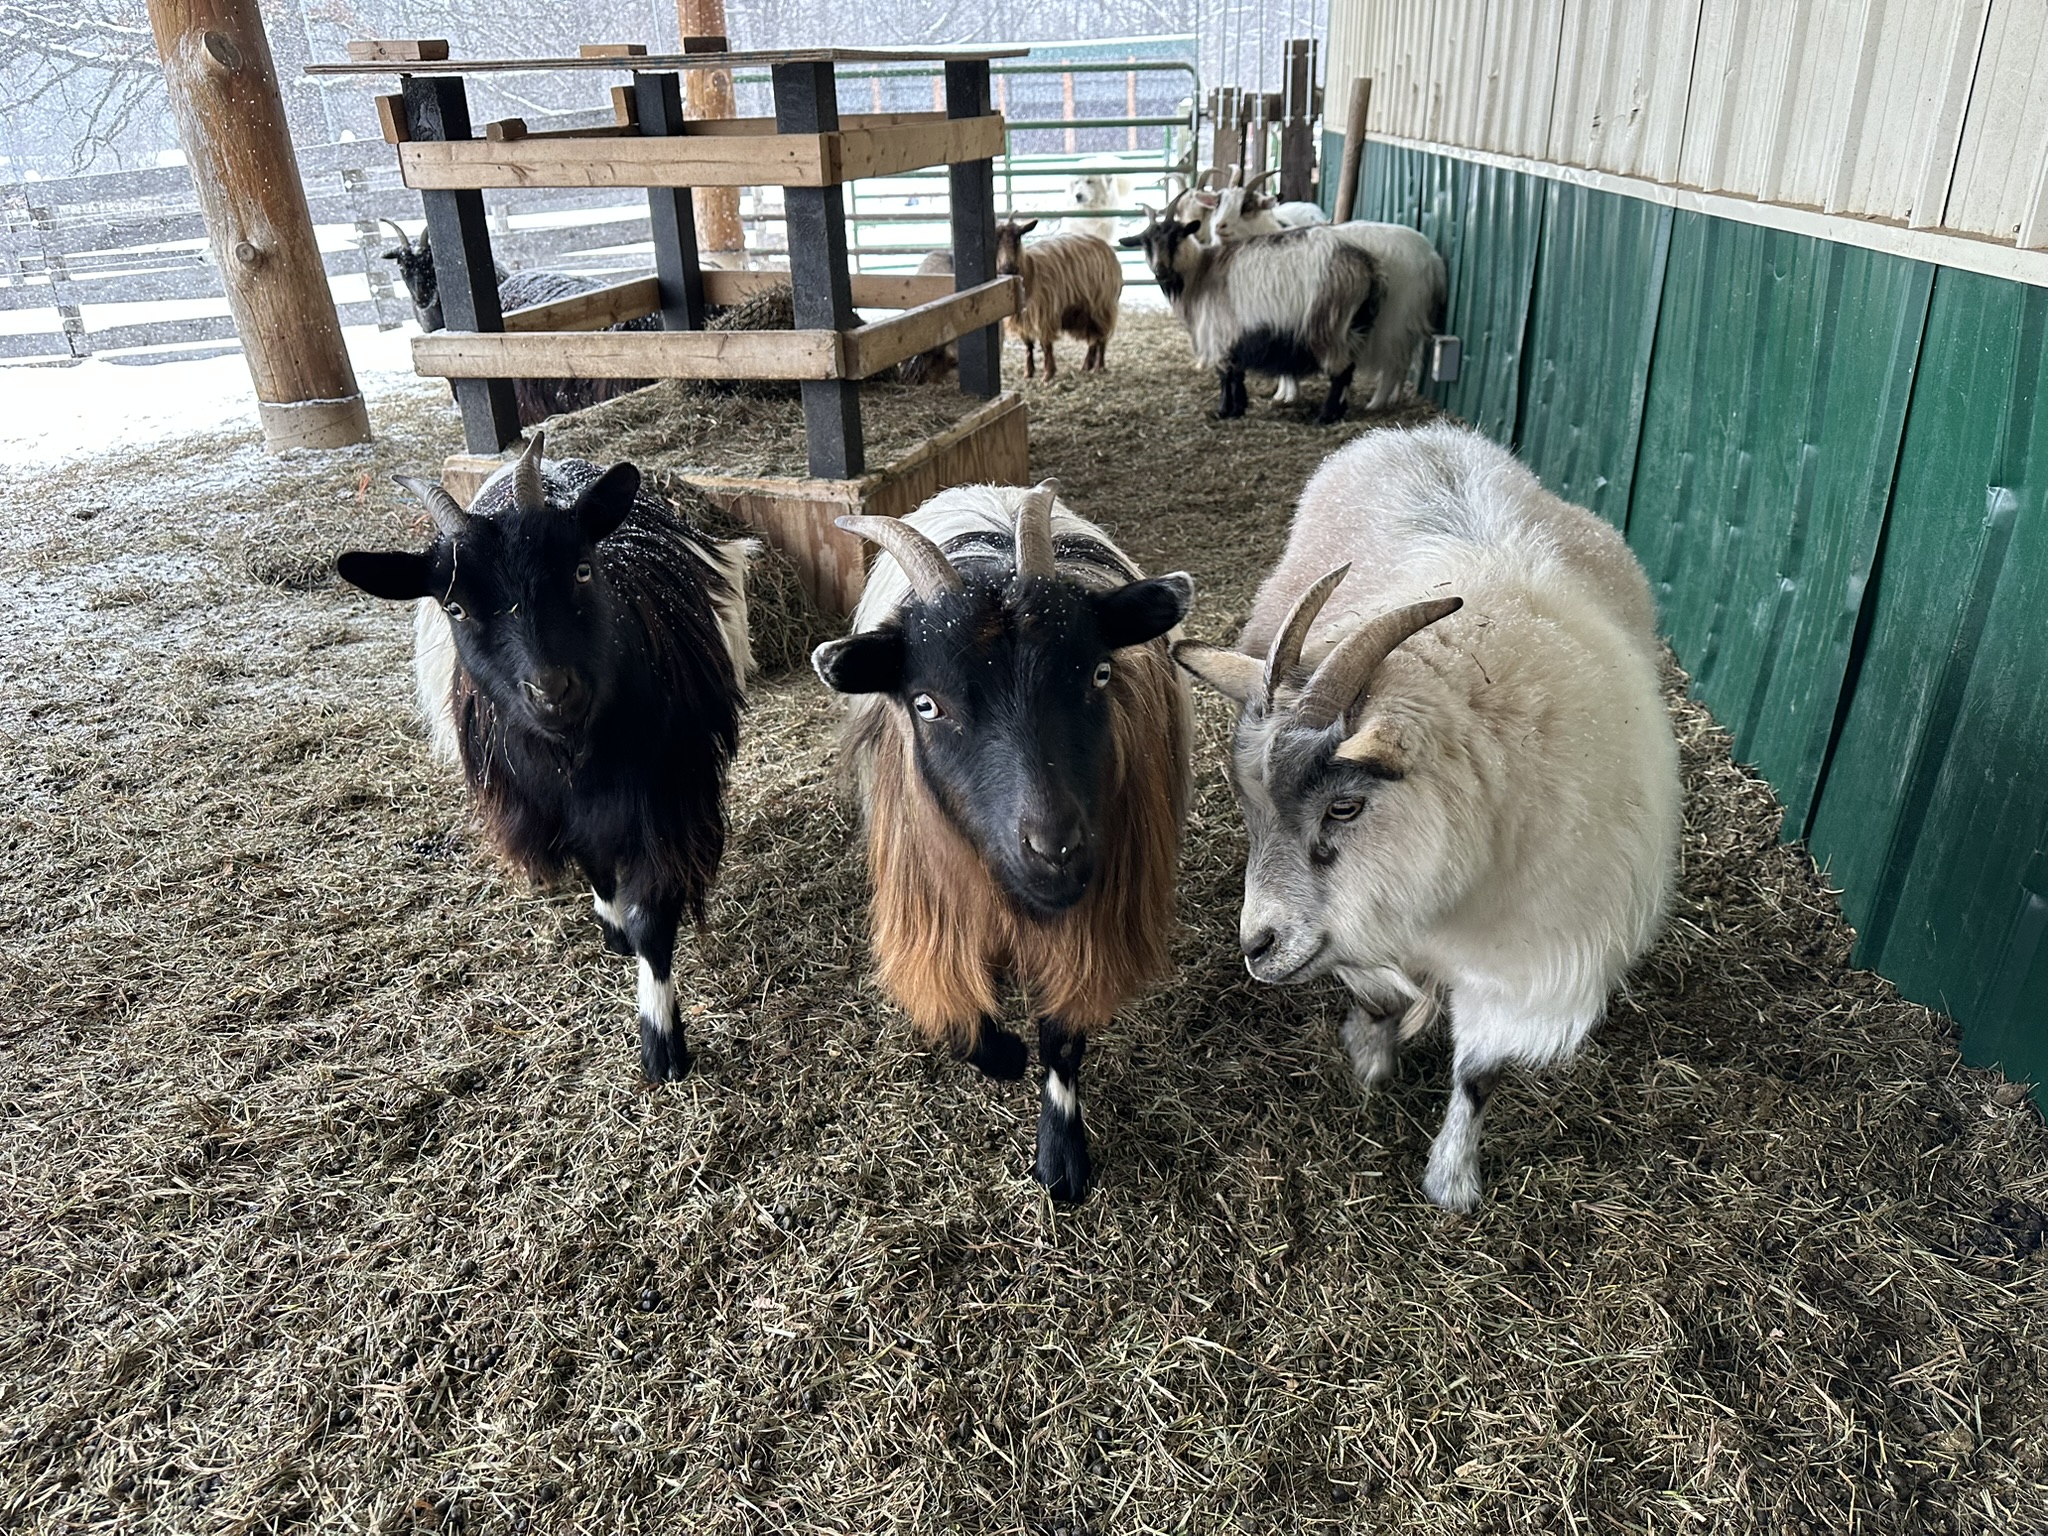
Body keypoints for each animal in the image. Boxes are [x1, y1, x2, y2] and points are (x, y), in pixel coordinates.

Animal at [336, 432, 753, 1083]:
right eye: (456, 608)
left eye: (582, 568)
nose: (552, 690)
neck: (581, 758)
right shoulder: (550, 805)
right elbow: (595, 867)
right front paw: (615, 933)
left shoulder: (667, 799)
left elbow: (653, 916)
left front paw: (661, 1044)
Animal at [812, 484, 1194, 1202]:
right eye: (926, 704)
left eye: (1100, 674)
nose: (1056, 849)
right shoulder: (930, 901)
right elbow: (961, 1022)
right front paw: (1002, 1055)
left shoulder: (1092, 917)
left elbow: (1062, 1034)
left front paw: (1061, 1155)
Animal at [994, 220, 1124, 379]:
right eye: (995, 241)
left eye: (1017, 238)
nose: (1008, 269)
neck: (1031, 271)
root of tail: (1108, 247)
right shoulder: (1022, 318)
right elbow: (1028, 345)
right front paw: (1028, 372)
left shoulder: (1044, 313)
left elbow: (1046, 344)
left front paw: (1048, 374)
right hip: (1085, 311)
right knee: (1093, 338)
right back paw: (1086, 366)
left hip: (1103, 306)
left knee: (1102, 337)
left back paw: (1099, 366)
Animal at [1119, 201, 1385, 423]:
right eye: (1145, 242)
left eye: (1176, 236)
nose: (1160, 270)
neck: (1199, 273)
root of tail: (1364, 266)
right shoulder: (1234, 335)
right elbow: (1237, 375)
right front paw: (1238, 408)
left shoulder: (1219, 333)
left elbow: (1225, 375)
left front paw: (1223, 411)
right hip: (1349, 326)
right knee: (1348, 370)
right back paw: (1338, 412)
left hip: (1328, 324)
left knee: (1341, 372)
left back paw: (1326, 416)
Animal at [1173, 422, 1680, 1210]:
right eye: (1247, 805)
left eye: (1344, 805)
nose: (1257, 946)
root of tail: (1420, 433)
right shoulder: (1358, 926)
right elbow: (1379, 997)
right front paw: (1370, 1060)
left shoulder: (1522, 965)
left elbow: (1477, 1075)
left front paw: (1452, 1180)